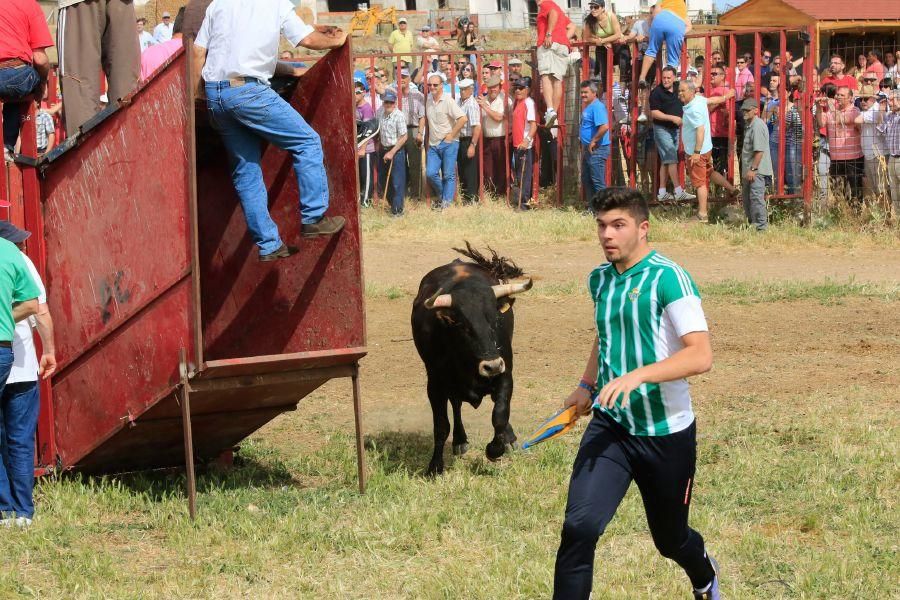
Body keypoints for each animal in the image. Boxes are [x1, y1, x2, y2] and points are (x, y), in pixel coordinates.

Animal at [412, 260, 532, 476]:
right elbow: (441, 426)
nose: (492, 366)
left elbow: (500, 415)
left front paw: (495, 449)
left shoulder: (506, 375)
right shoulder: (435, 385)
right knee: (456, 406)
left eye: (496, 320)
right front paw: (435, 466)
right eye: (463, 325)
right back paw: (460, 440)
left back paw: (508, 439)